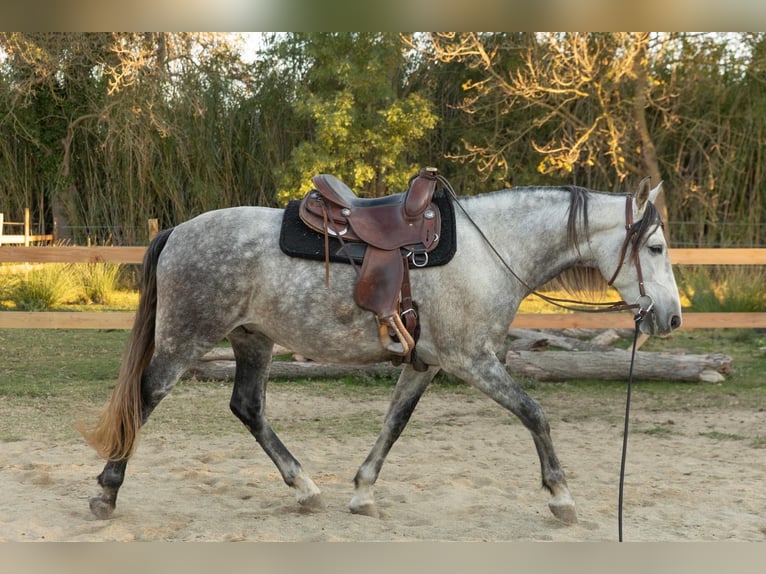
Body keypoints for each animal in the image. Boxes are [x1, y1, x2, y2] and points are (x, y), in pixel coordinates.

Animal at [81, 176, 682, 525]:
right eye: (654, 247)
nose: (672, 317)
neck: (491, 251)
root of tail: (178, 231)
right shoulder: (471, 360)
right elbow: (535, 413)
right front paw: (560, 496)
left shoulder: (426, 363)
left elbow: (394, 422)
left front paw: (363, 491)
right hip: (186, 338)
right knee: (146, 396)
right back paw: (107, 494)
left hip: (253, 338)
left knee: (247, 407)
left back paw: (305, 487)